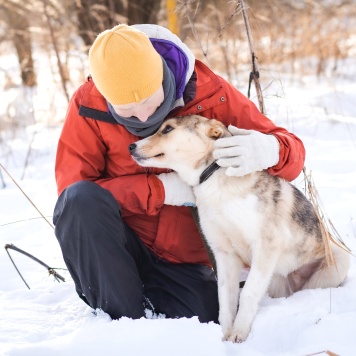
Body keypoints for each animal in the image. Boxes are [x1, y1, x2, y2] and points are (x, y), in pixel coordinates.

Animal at [129, 115, 350, 344]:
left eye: (168, 129)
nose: (131, 146)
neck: (214, 180)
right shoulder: (223, 253)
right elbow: (226, 298)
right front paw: (225, 333)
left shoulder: (266, 246)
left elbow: (248, 293)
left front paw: (239, 332)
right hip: (274, 281)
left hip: (336, 262)